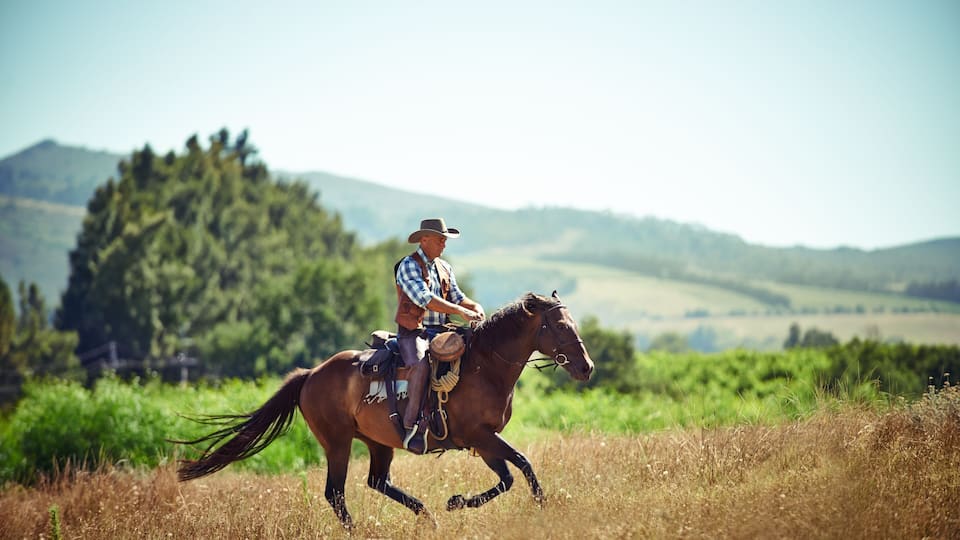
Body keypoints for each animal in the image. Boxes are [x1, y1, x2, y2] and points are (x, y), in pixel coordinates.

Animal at [174, 291, 594, 529]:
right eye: (559, 325)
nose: (586, 367)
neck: (484, 366)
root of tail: (311, 375)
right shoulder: (480, 435)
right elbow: (521, 464)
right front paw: (539, 510)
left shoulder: (483, 440)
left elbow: (509, 475)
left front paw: (456, 502)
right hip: (338, 442)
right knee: (335, 493)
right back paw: (364, 529)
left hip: (378, 442)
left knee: (377, 481)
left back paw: (427, 517)